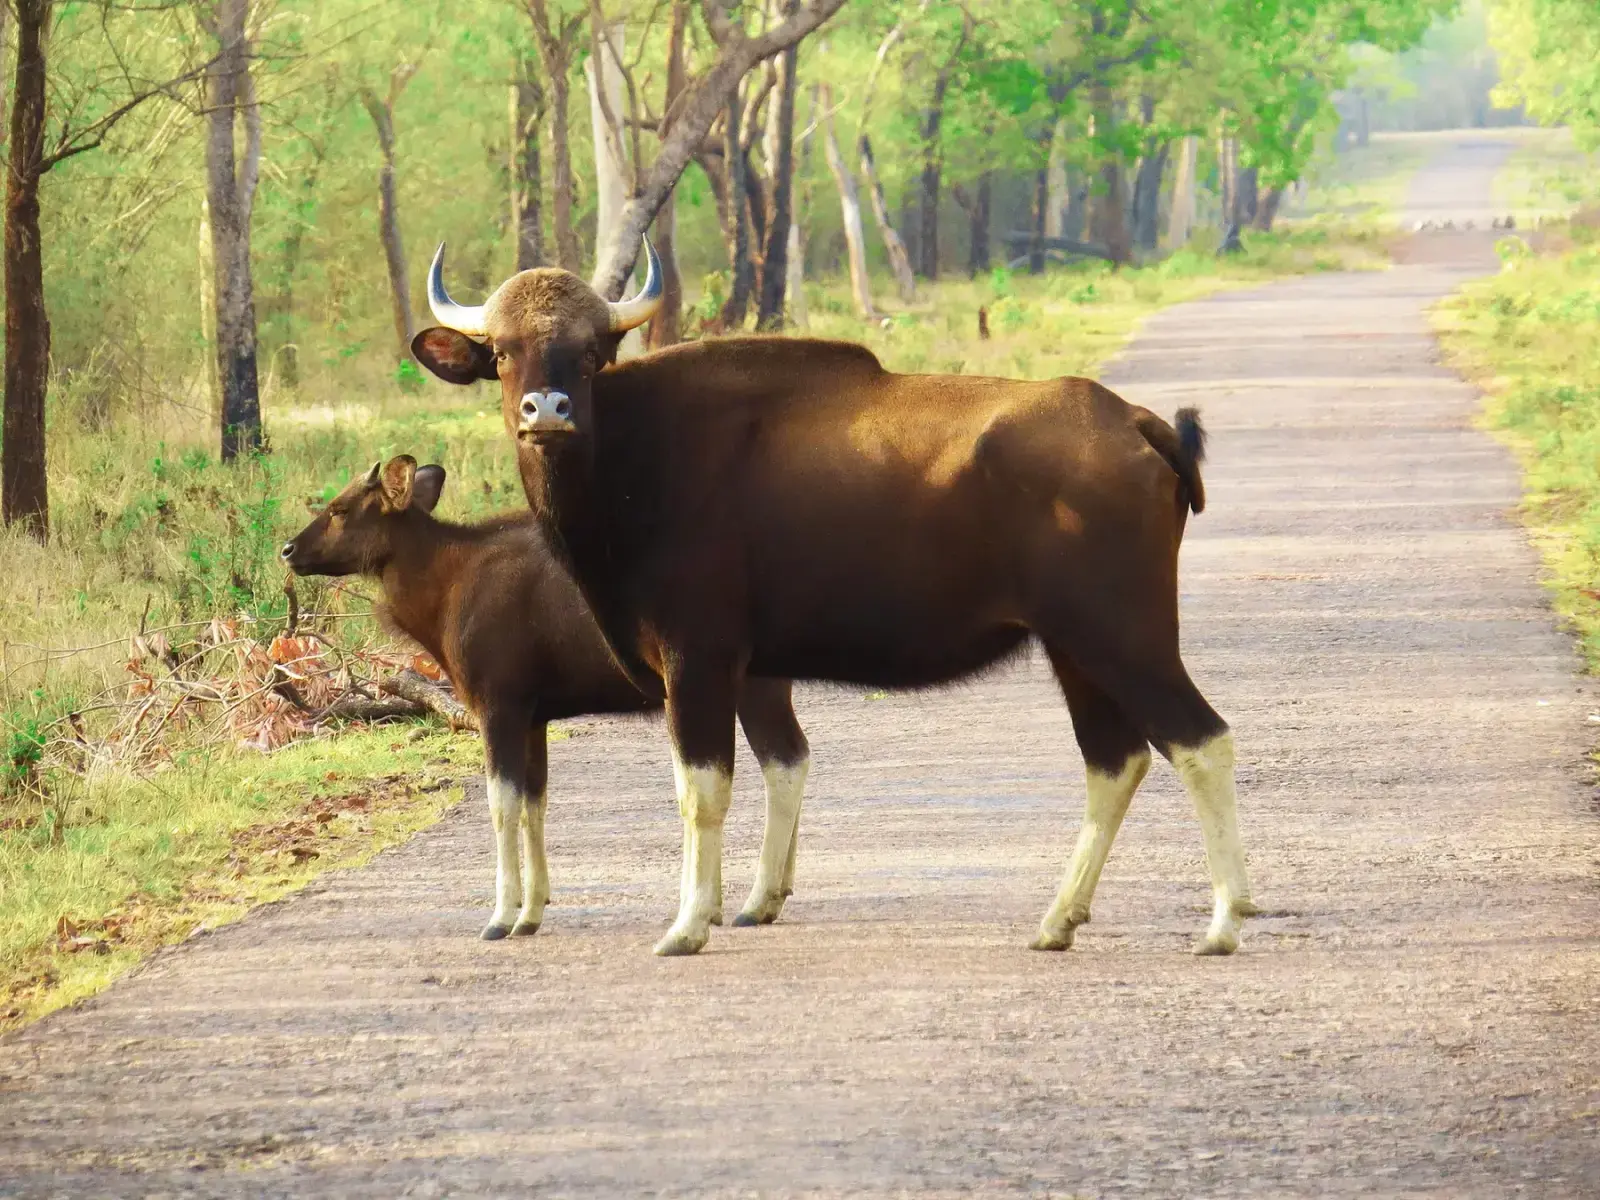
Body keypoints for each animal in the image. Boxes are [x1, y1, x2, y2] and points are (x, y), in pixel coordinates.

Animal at [280, 454, 811, 941]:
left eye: (340, 508)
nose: (288, 549)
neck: (442, 594)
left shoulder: (498, 704)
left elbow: (501, 806)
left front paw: (500, 916)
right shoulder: (535, 715)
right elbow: (534, 803)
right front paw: (531, 912)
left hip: (748, 683)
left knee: (783, 762)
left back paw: (754, 901)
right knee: (793, 757)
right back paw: (766, 895)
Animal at [411, 239, 1257, 959]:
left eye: (589, 352)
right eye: (503, 353)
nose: (547, 412)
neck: (635, 462)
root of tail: (1135, 422)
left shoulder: (697, 657)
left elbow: (700, 791)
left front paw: (689, 923)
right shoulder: (753, 670)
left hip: (1122, 633)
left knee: (1201, 740)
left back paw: (1224, 920)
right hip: (1074, 646)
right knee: (1115, 761)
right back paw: (1059, 919)